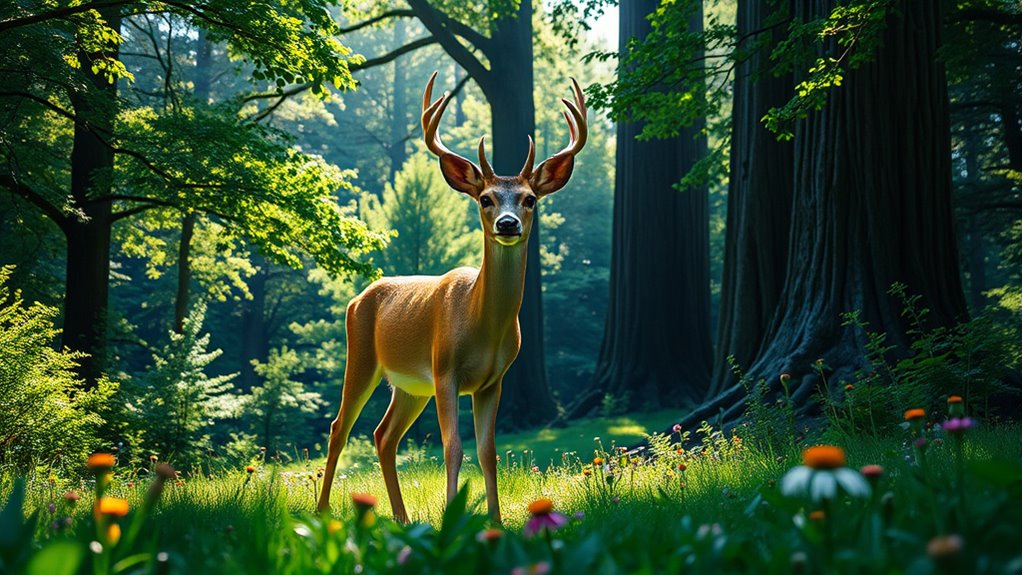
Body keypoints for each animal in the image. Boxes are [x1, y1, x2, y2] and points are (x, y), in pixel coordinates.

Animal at [315, 71, 587, 523]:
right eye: (486, 198)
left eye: (530, 199)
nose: (508, 223)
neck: (482, 326)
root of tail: (357, 298)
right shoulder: (445, 370)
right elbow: (453, 448)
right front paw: (451, 517)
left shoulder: (493, 381)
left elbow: (488, 452)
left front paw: (495, 520)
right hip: (364, 357)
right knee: (341, 427)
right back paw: (321, 512)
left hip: (410, 386)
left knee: (383, 435)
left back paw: (402, 517)